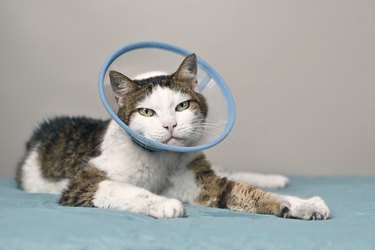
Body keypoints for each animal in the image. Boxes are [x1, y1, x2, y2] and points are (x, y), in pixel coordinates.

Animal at [16, 53, 330, 220]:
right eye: (146, 112)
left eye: (182, 106)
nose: (170, 126)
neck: (161, 160)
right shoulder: (83, 185)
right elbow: (125, 189)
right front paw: (164, 204)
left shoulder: (199, 181)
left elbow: (240, 190)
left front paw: (303, 204)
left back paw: (273, 178)